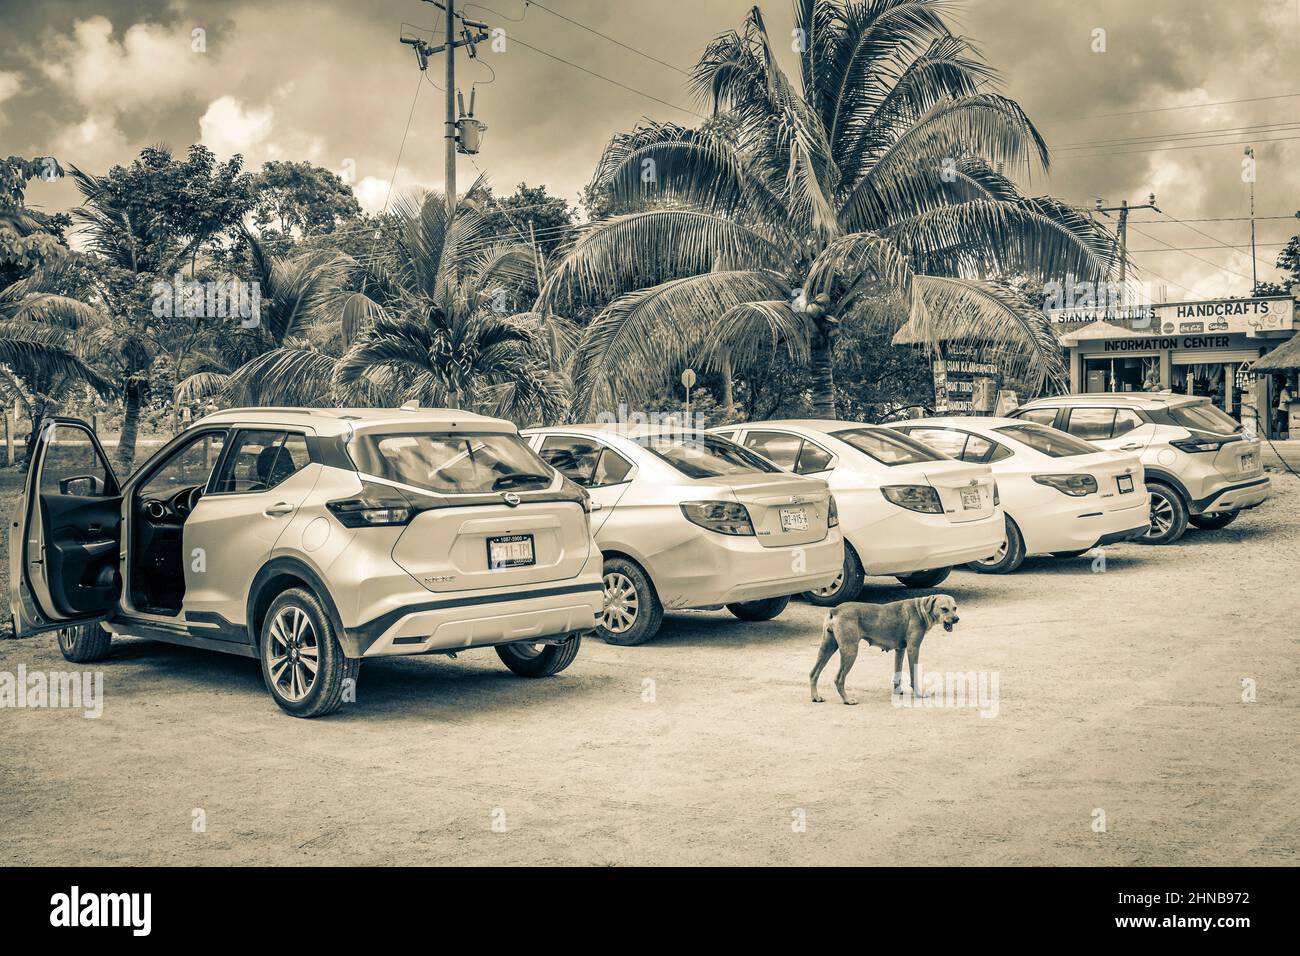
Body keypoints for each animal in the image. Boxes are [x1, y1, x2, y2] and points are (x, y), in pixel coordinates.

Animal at [806, 595, 961, 707]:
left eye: (955, 608)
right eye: (944, 609)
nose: (956, 619)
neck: (920, 610)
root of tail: (835, 610)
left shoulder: (900, 650)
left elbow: (897, 672)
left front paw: (897, 691)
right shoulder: (913, 649)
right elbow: (913, 675)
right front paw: (918, 694)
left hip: (827, 648)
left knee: (813, 673)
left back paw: (815, 697)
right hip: (850, 651)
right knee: (839, 679)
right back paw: (847, 700)